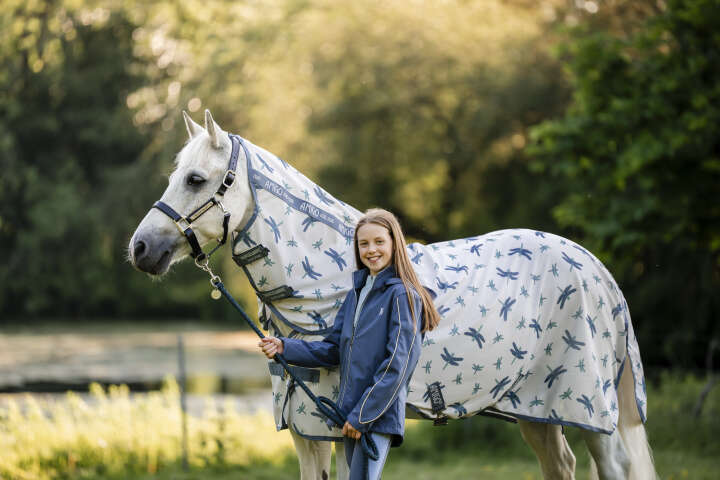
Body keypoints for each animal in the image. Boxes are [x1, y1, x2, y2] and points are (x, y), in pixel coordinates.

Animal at [129, 110, 656, 480]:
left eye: (196, 179)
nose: (140, 248)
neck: (330, 281)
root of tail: (596, 268)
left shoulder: (343, 427)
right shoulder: (305, 430)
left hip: (591, 410)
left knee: (612, 467)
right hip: (537, 409)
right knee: (560, 465)